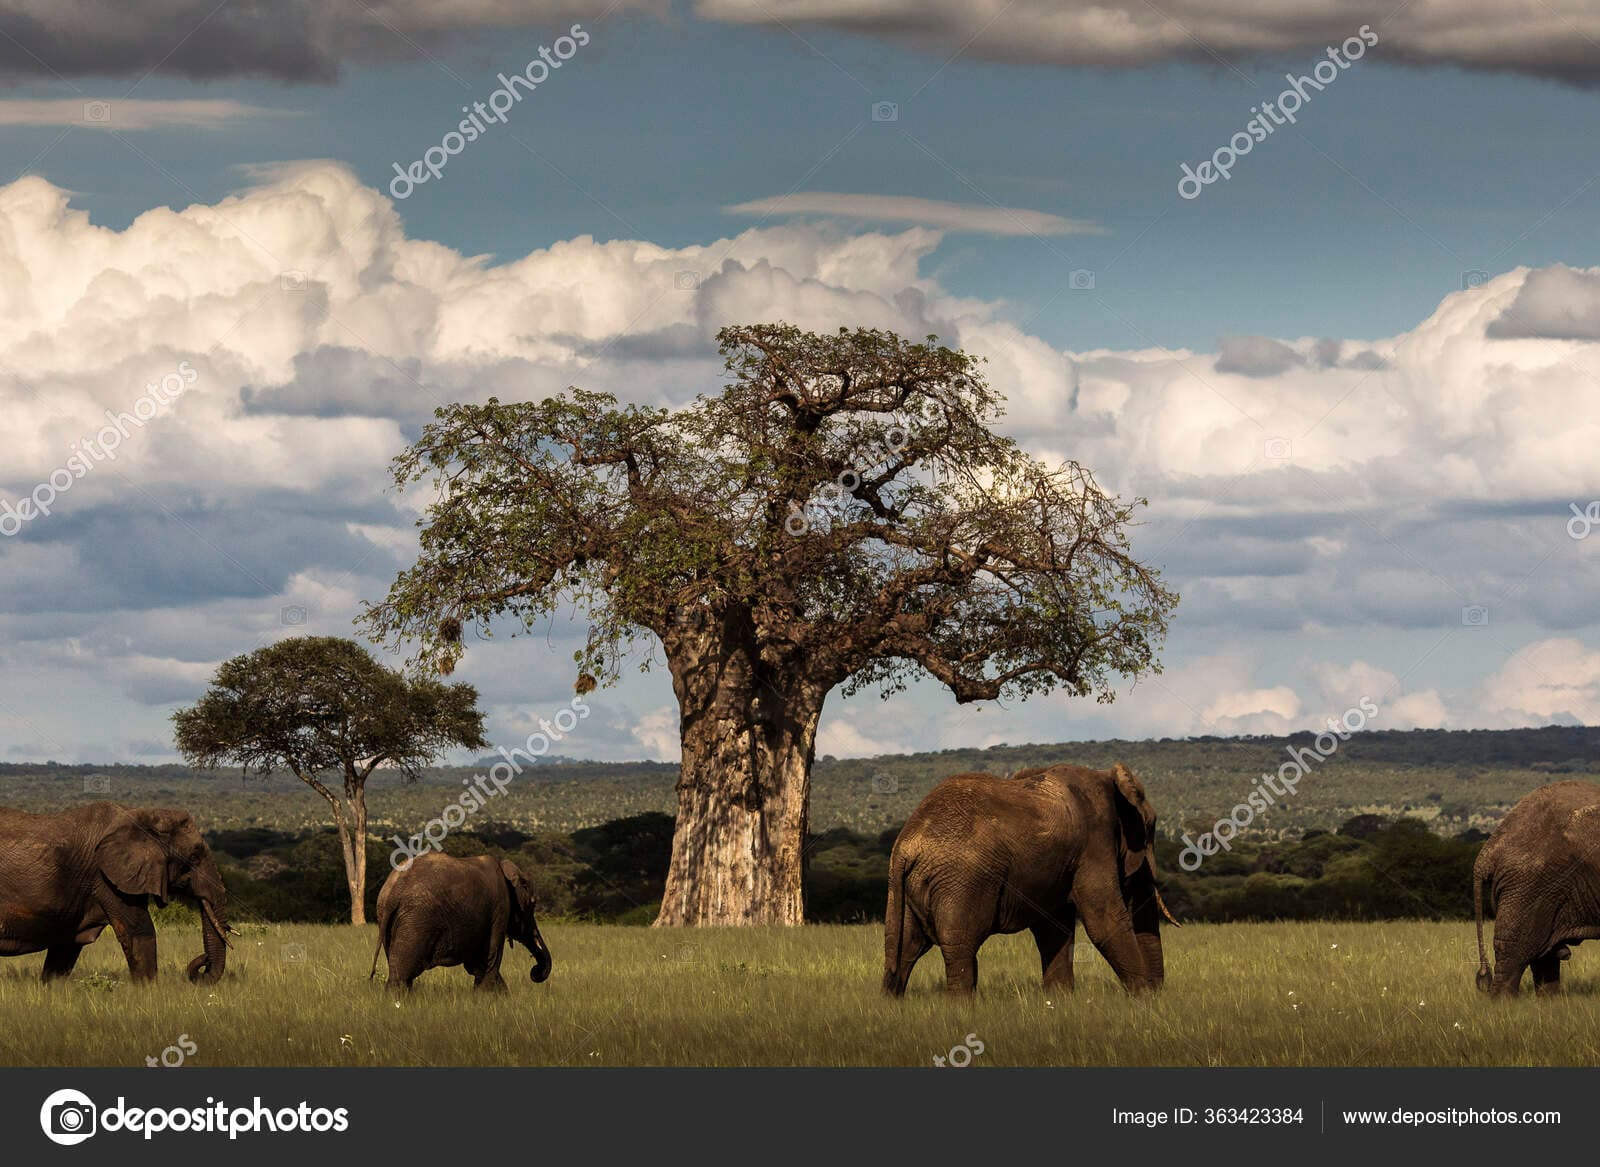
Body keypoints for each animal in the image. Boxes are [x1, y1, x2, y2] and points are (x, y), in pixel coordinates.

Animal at [0, 802, 230, 984]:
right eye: (194, 857)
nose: (204, 959)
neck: (141, 815)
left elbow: (65, 947)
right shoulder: (106, 878)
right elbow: (139, 932)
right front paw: (149, 995)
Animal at [370, 852, 553, 992]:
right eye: (533, 903)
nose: (535, 972)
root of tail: (395, 889)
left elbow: (477, 964)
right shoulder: (500, 908)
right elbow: (489, 959)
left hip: (388, 917)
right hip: (416, 919)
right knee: (403, 973)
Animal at [883, 762, 1178, 996]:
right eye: (1150, 827)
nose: (1156, 992)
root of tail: (905, 845)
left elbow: (1053, 929)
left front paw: (1059, 1001)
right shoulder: (1094, 844)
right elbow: (1105, 922)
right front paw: (1142, 1000)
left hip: (905, 888)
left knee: (904, 949)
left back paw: (892, 1004)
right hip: (961, 880)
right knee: (960, 947)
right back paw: (961, 1008)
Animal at [1474, 780, 1600, 997]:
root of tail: (1490, 847)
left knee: (1544, 954)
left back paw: (1550, 1002)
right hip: (1530, 885)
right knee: (1516, 950)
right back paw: (1503, 1002)